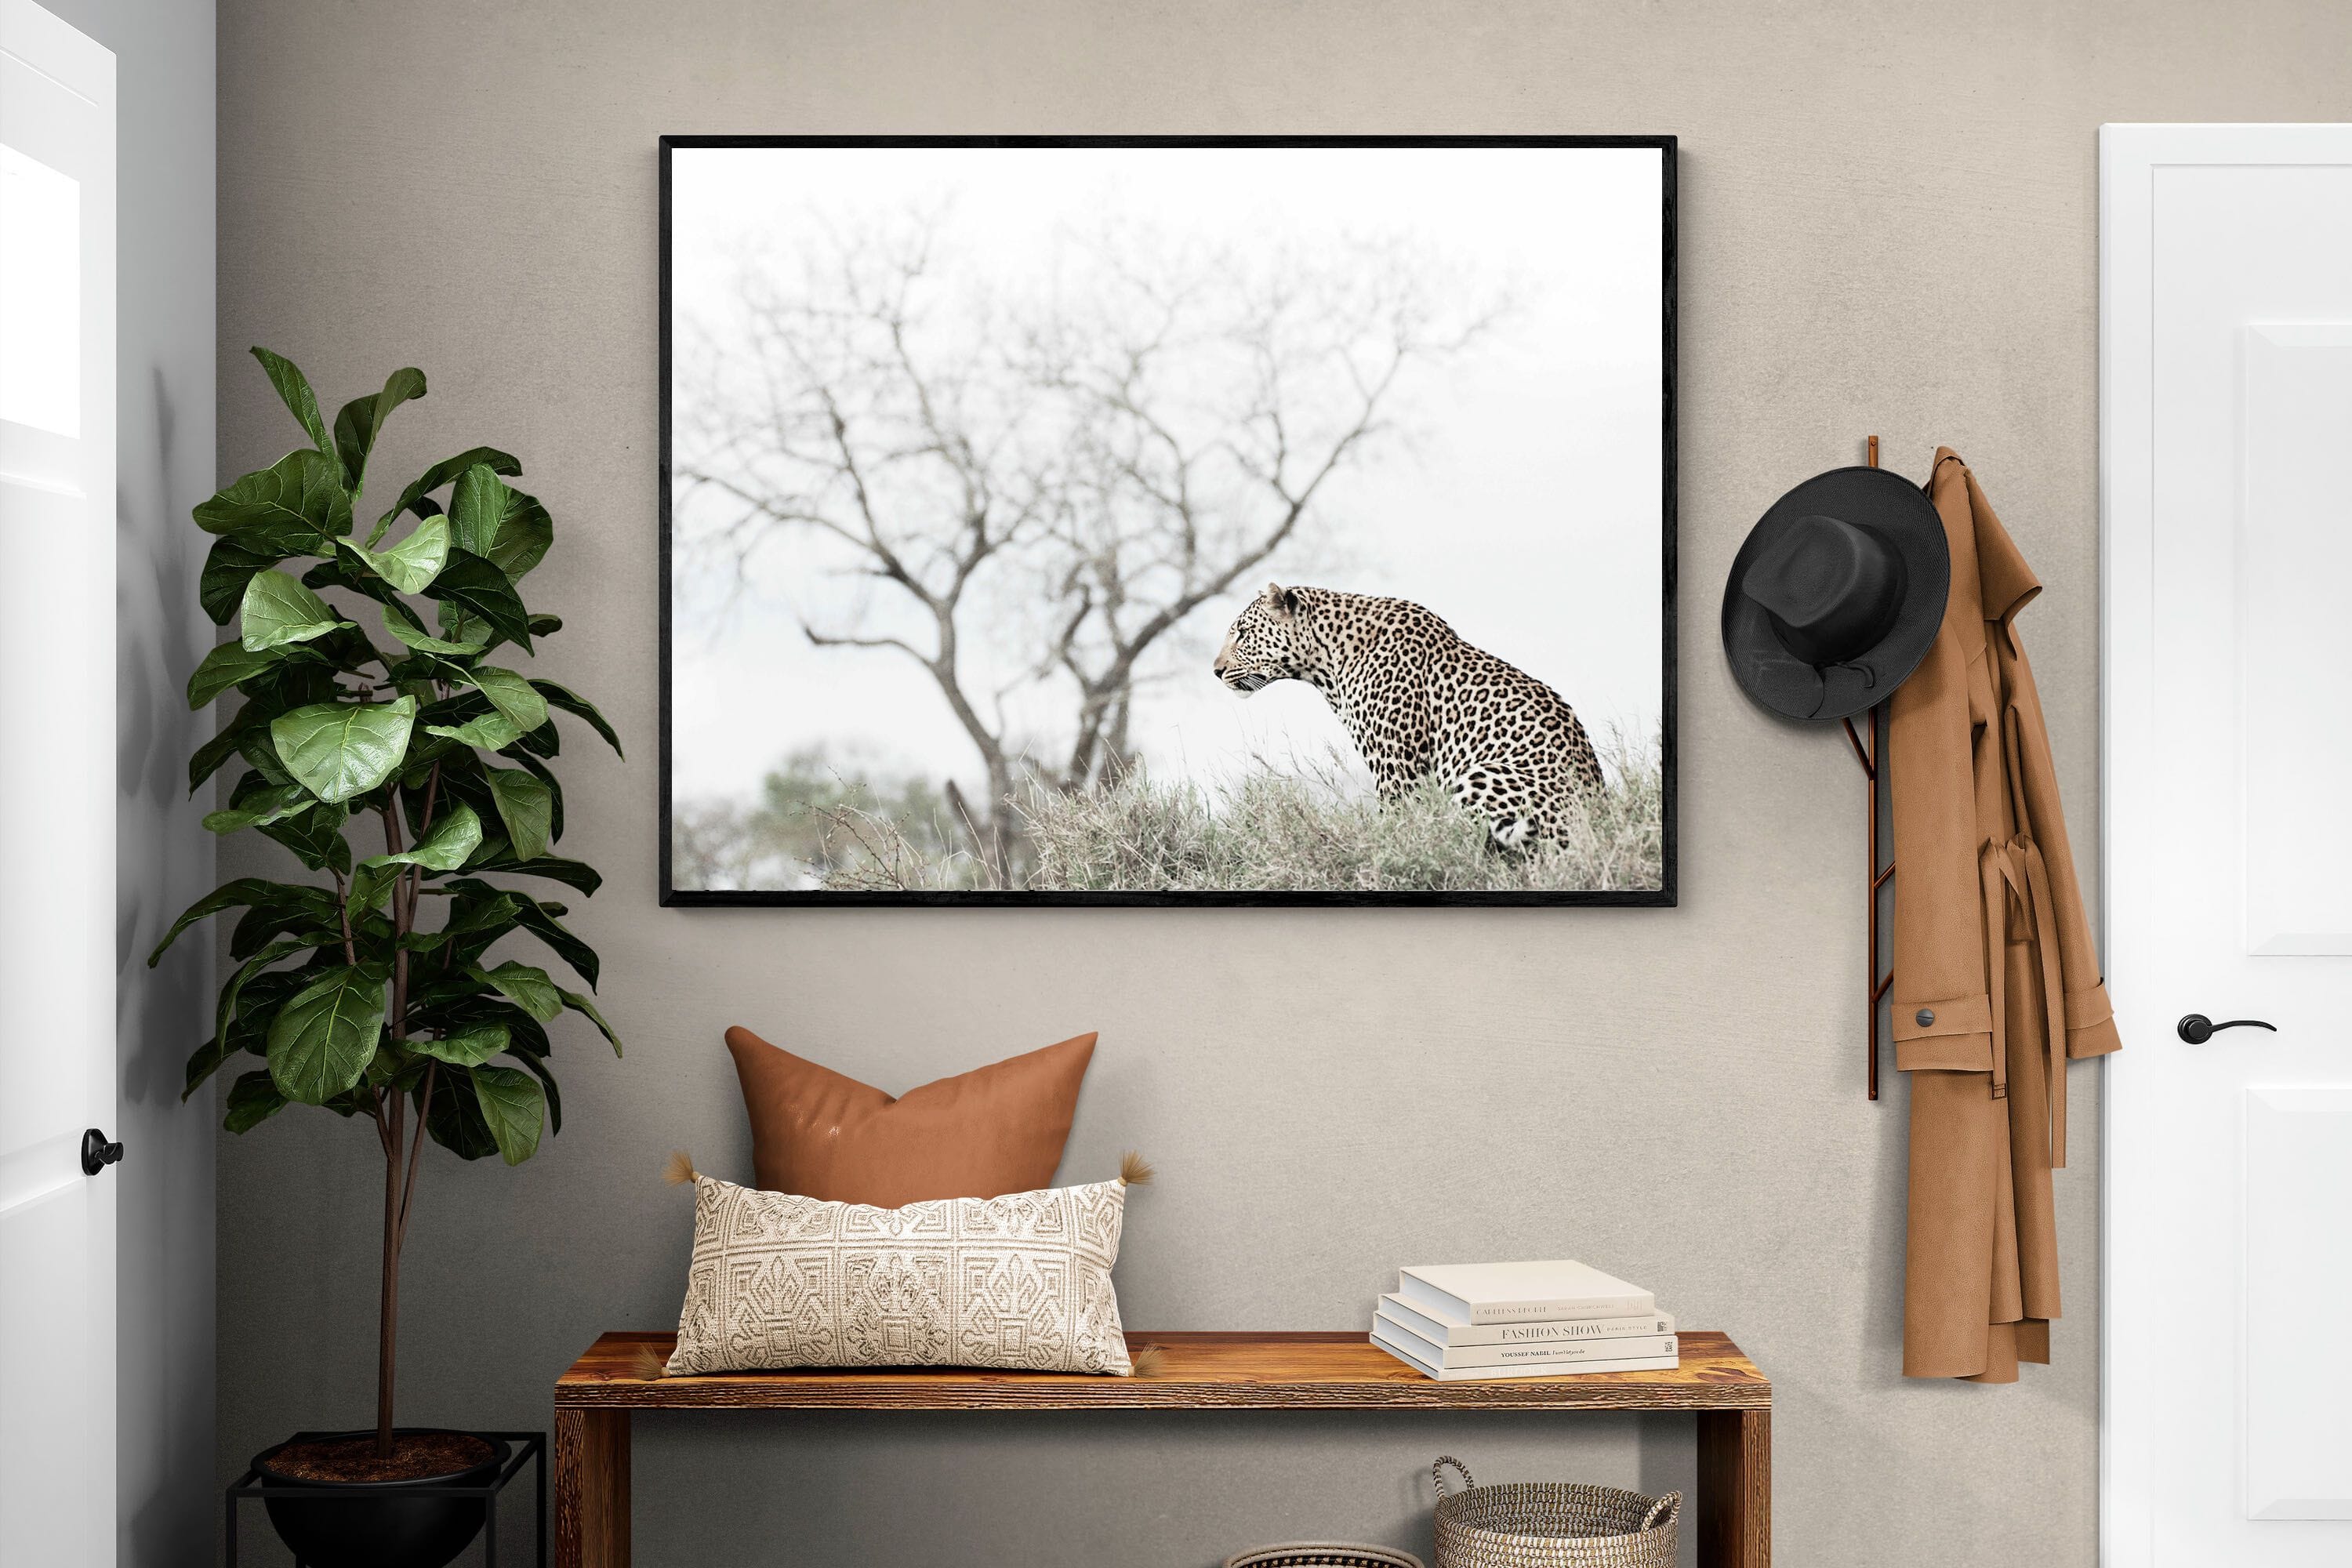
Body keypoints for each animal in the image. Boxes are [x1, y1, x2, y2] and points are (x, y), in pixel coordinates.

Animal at [1211, 582, 1606, 851]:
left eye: (1244, 633)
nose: (1216, 671)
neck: (1326, 662)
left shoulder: (1395, 765)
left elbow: (1396, 823)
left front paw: (1387, 852)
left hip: (1482, 774)